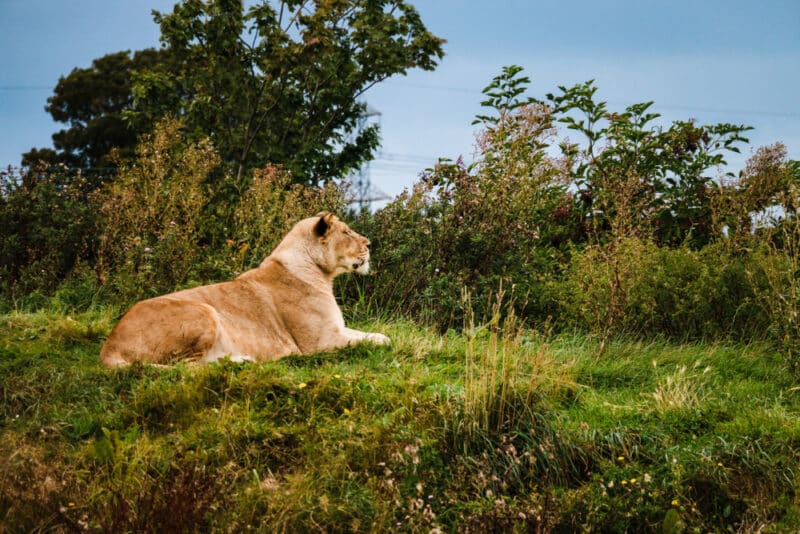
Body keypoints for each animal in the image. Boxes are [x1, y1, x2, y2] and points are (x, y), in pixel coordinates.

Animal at [100, 212, 390, 367]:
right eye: (347, 232)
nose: (370, 244)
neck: (321, 273)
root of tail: (109, 346)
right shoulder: (319, 342)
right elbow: (371, 340)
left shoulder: (336, 329)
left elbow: (373, 334)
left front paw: (383, 337)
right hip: (204, 311)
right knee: (188, 367)